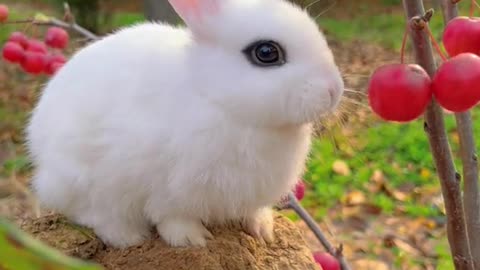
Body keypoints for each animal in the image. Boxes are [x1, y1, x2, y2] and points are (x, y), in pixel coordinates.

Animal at [25, 0, 344, 249]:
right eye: (266, 52)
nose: (334, 90)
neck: (218, 100)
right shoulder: (166, 187)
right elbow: (172, 217)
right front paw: (192, 240)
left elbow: (253, 211)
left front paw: (264, 230)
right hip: (83, 181)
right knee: (94, 214)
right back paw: (129, 237)